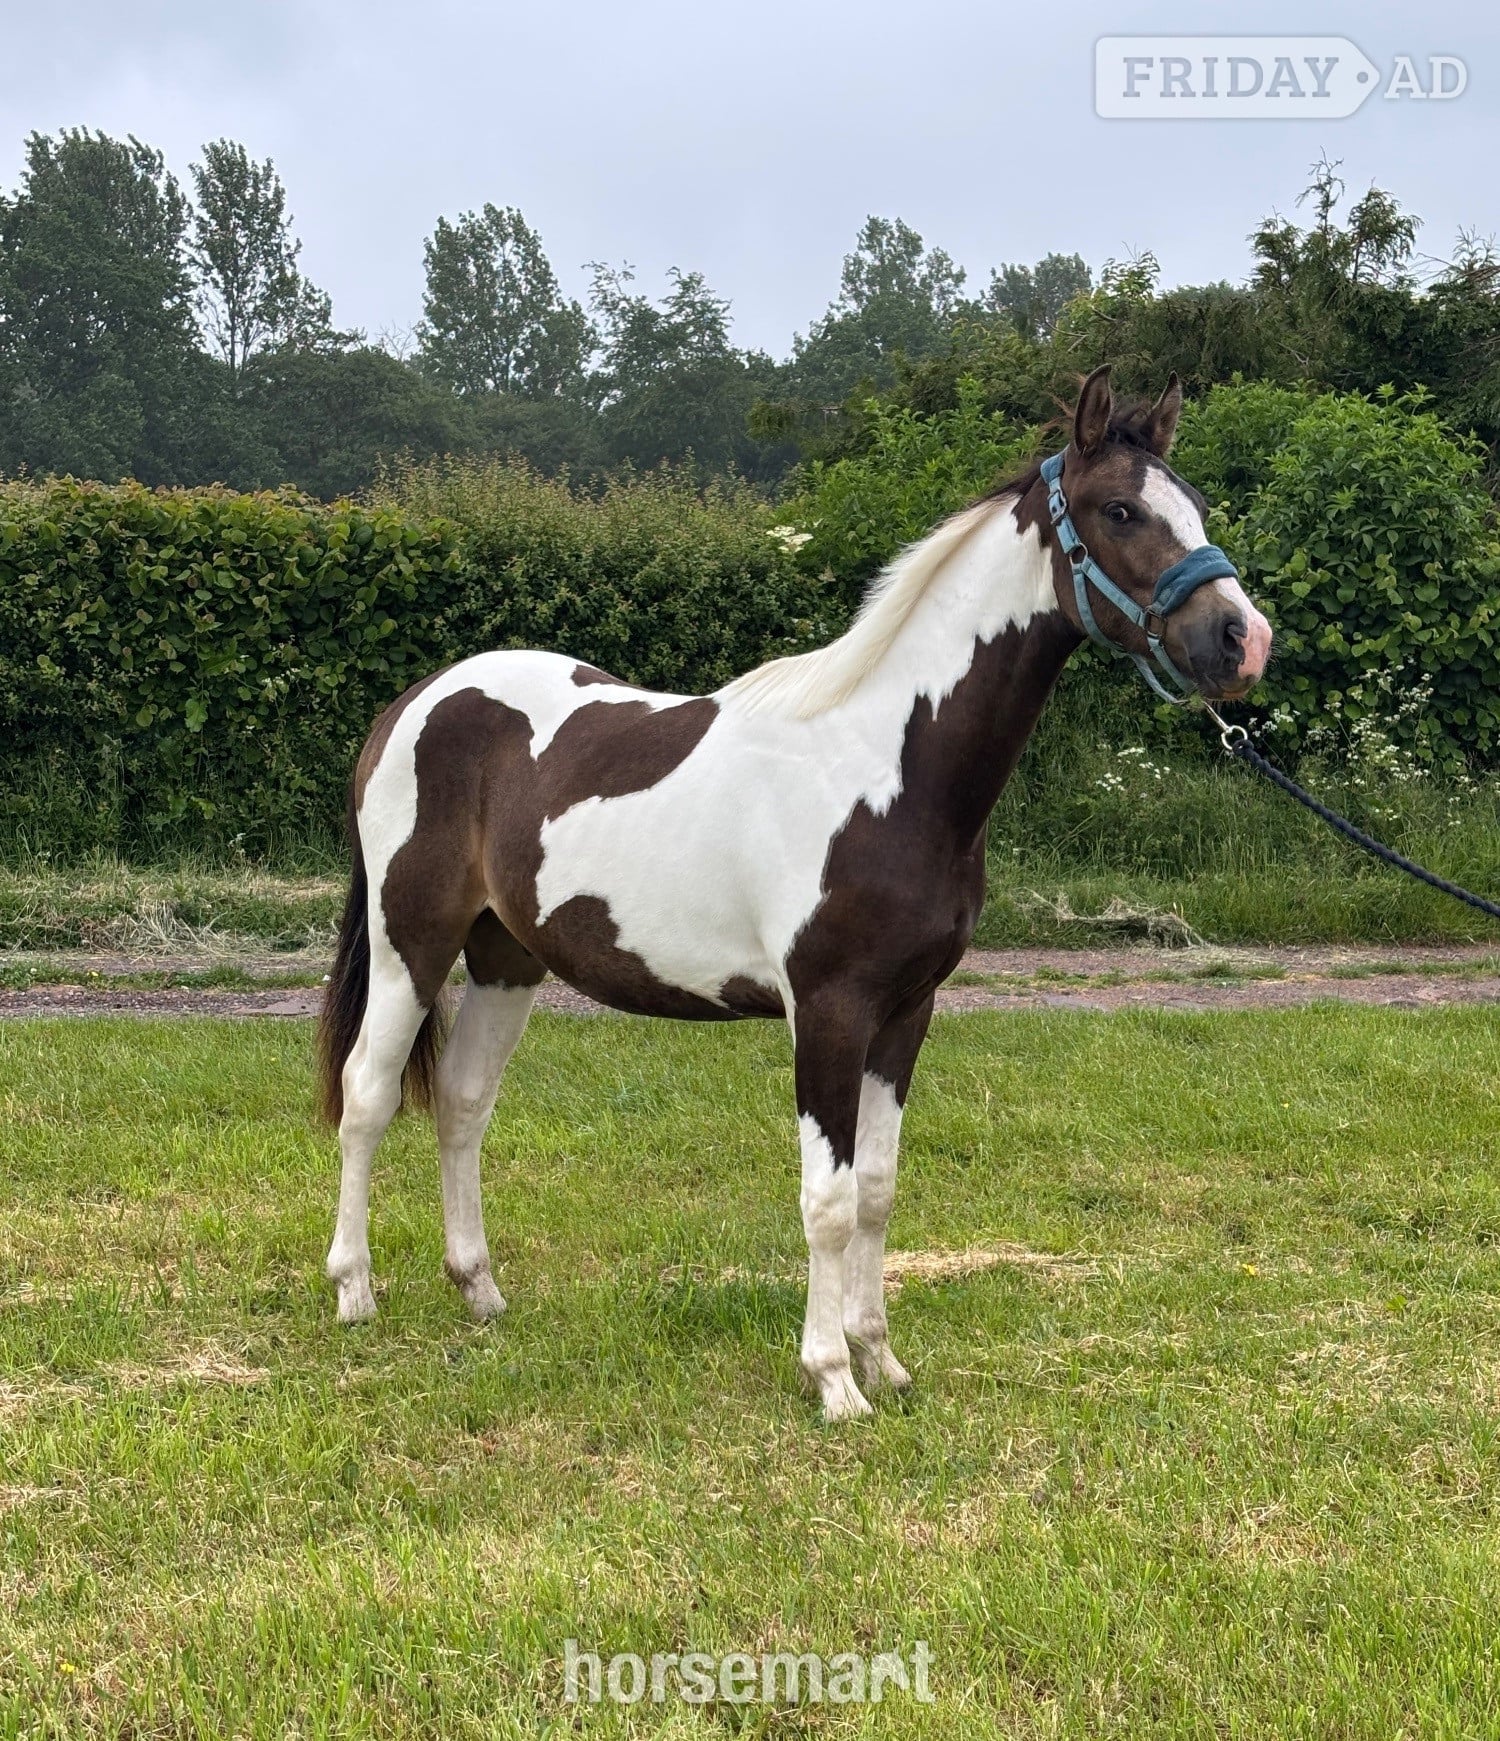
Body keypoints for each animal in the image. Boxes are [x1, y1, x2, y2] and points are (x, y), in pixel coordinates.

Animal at [316, 366, 1272, 1421]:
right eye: (1121, 510)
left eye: (1196, 505)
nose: (1243, 639)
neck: (887, 764)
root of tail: (414, 703)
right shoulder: (829, 1009)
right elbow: (829, 1199)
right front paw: (833, 1380)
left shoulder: (907, 1011)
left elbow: (880, 1189)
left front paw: (882, 1359)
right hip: (412, 941)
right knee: (367, 1094)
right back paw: (354, 1291)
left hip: (504, 957)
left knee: (461, 1100)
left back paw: (479, 1288)